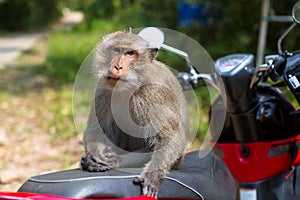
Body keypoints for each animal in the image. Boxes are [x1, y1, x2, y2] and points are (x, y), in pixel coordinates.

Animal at [81, 27, 189, 198]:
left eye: (130, 54)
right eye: (117, 50)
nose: (117, 67)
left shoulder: (151, 94)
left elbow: (170, 138)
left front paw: (152, 175)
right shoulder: (103, 90)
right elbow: (96, 130)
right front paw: (94, 156)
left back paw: (116, 160)